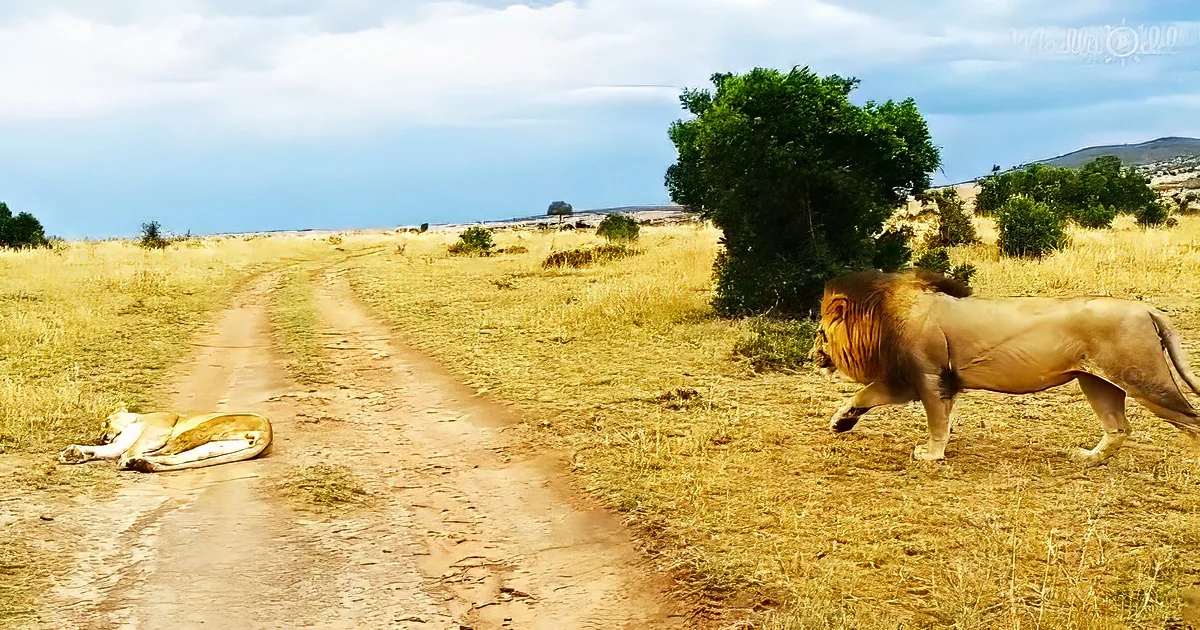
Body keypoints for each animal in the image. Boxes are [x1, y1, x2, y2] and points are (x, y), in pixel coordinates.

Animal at [57, 405, 273, 473]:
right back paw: (142, 464)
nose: (103, 437)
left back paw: (134, 462)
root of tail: (268, 431)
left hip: (196, 432)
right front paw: (73, 454)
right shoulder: (119, 444)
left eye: (107, 422)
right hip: (212, 448)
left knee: (166, 453)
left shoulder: (157, 427)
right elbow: (104, 450)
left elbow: (132, 446)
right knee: (173, 458)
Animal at [809, 269, 1200, 464]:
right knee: (1119, 429)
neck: (880, 318)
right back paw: (1088, 458)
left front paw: (931, 455)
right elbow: (862, 396)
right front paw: (840, 423)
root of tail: (1145, 308)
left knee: (1190, 419)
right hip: (1098, 382)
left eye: (820, 333)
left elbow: (937, 423)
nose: (813, 354)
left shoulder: (930, 378)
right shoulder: (904, 380)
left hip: (1145, 380)